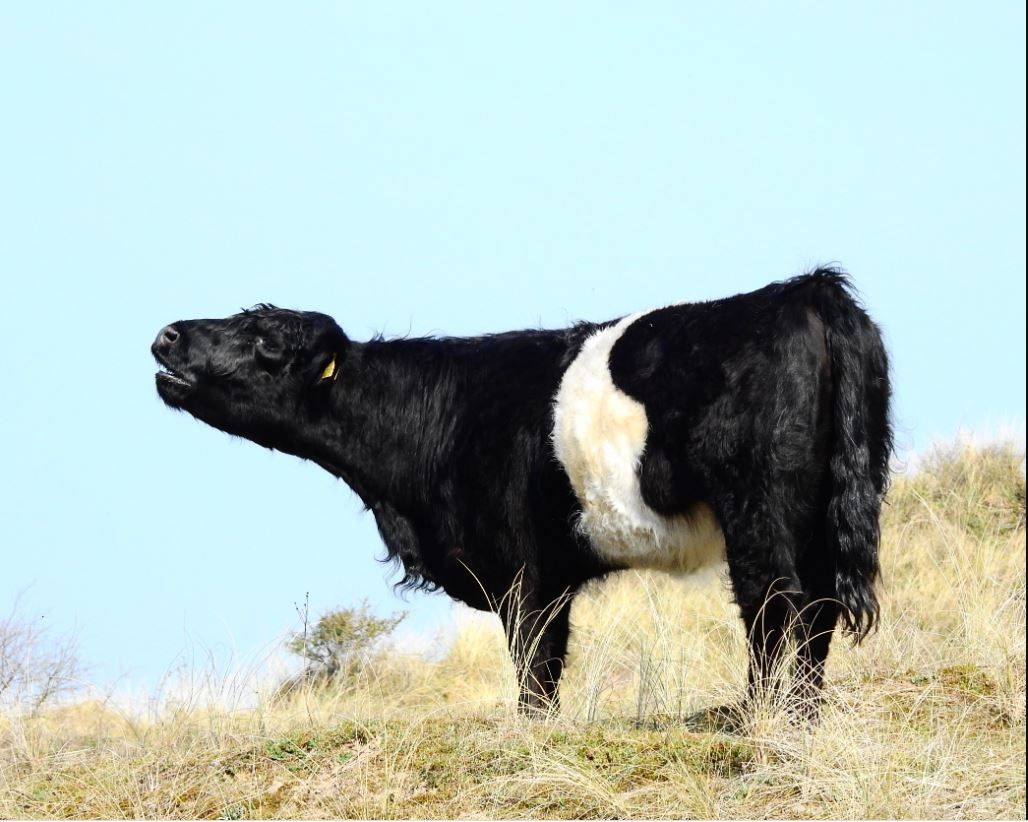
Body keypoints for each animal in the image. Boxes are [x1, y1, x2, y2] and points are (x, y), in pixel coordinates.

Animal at [152, 268, 892, 716]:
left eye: (263, 342)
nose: (167, 335)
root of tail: (804, 290)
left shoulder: (522, 574)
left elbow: (535, 668)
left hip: (759, 514)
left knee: (777, 612)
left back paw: (765, 717)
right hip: (832, 511)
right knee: (816, 612)